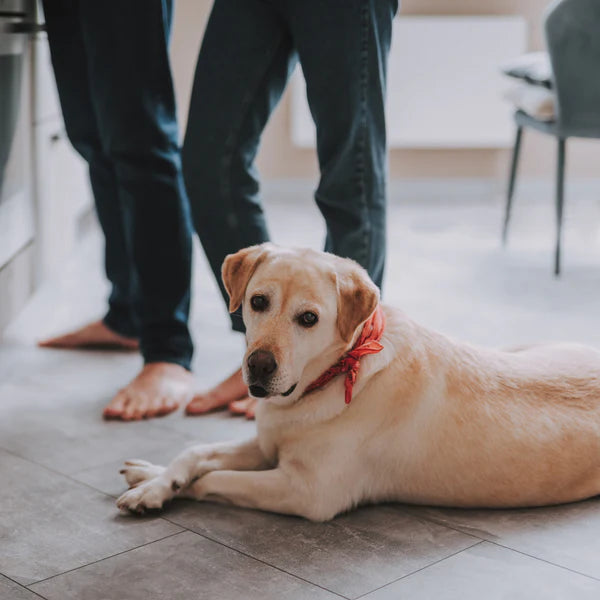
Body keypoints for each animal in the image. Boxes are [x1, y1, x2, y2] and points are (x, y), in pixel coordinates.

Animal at [117, 243, 600, 520]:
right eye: (258, 302)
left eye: (308, 319)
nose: (258, 366)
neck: (339, 370)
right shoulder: (268, 443)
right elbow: (195, 452)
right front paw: (154, 481)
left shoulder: (306, 492)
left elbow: (211, 478)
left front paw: (169, 489)